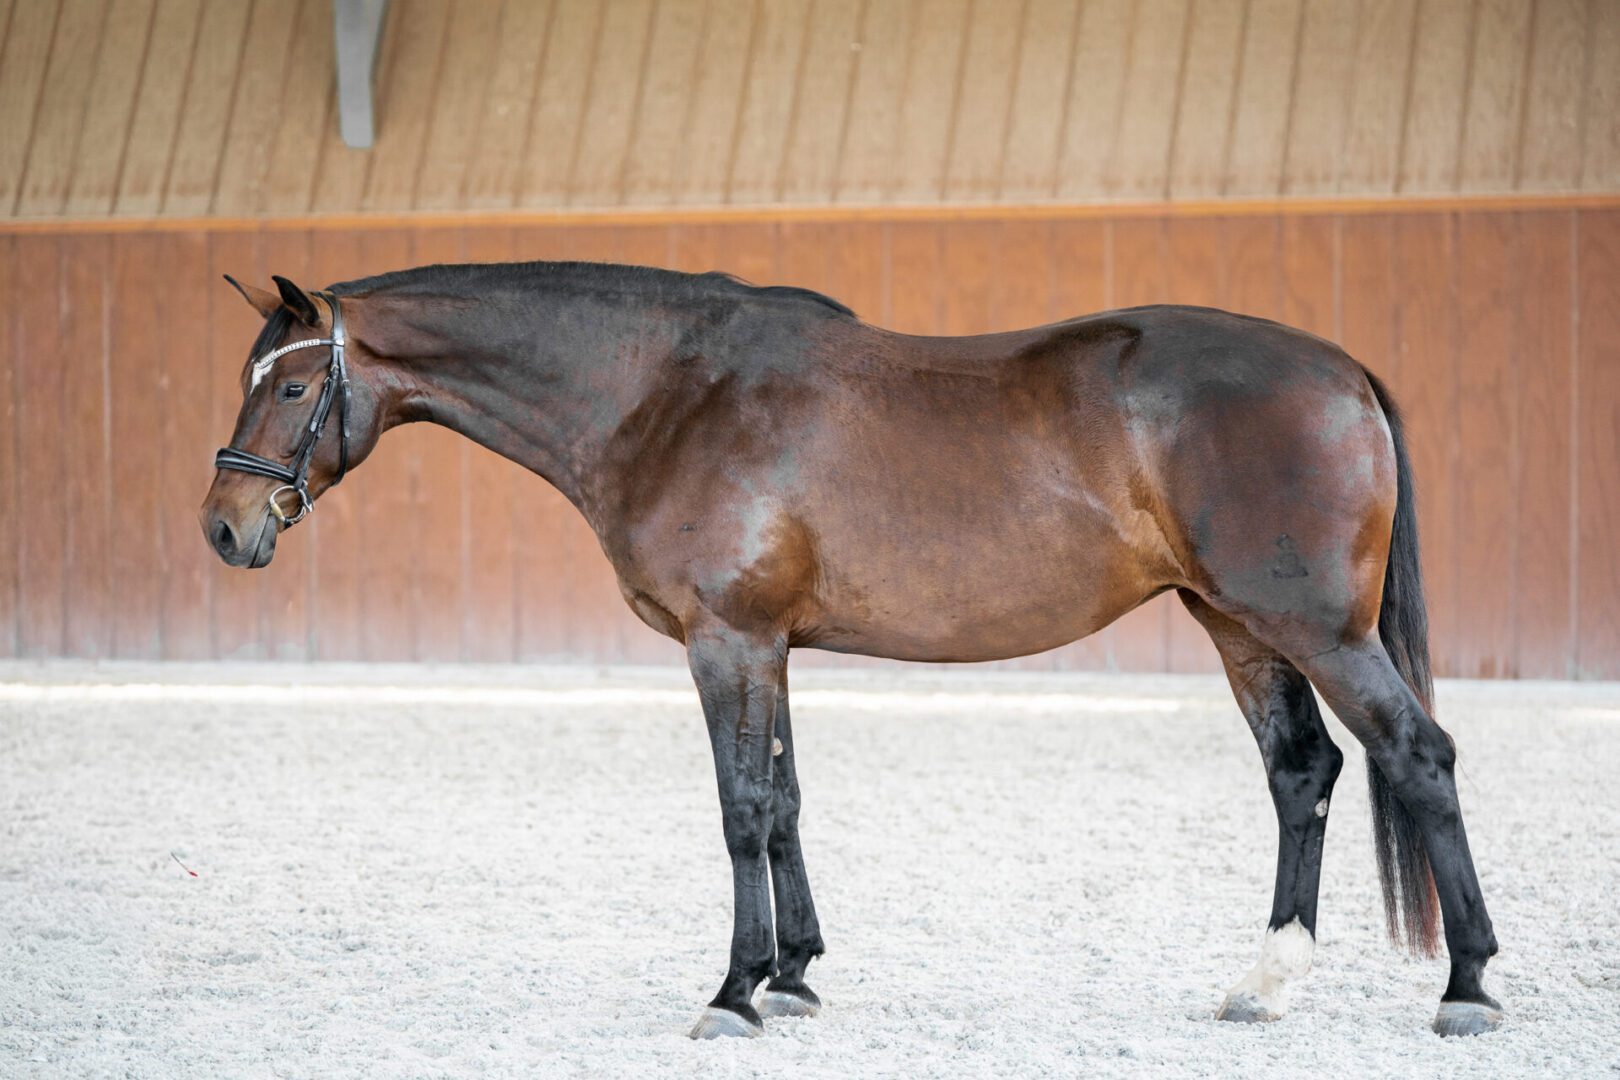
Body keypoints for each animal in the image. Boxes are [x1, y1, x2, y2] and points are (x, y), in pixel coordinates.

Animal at [200, 260, 1501, 1039]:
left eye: (296, 385)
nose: (225, 527)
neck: (668, 393)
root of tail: (1340, 369)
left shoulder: (725, 642)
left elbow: (738, 807)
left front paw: (733, 993)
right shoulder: (765, 645)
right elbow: (782, 801)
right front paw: (796, 973)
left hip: (1312, 630)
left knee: (1418, 756)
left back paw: (1470, 984)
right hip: (1239, 625)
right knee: (1304, 774)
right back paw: (1267, 982)